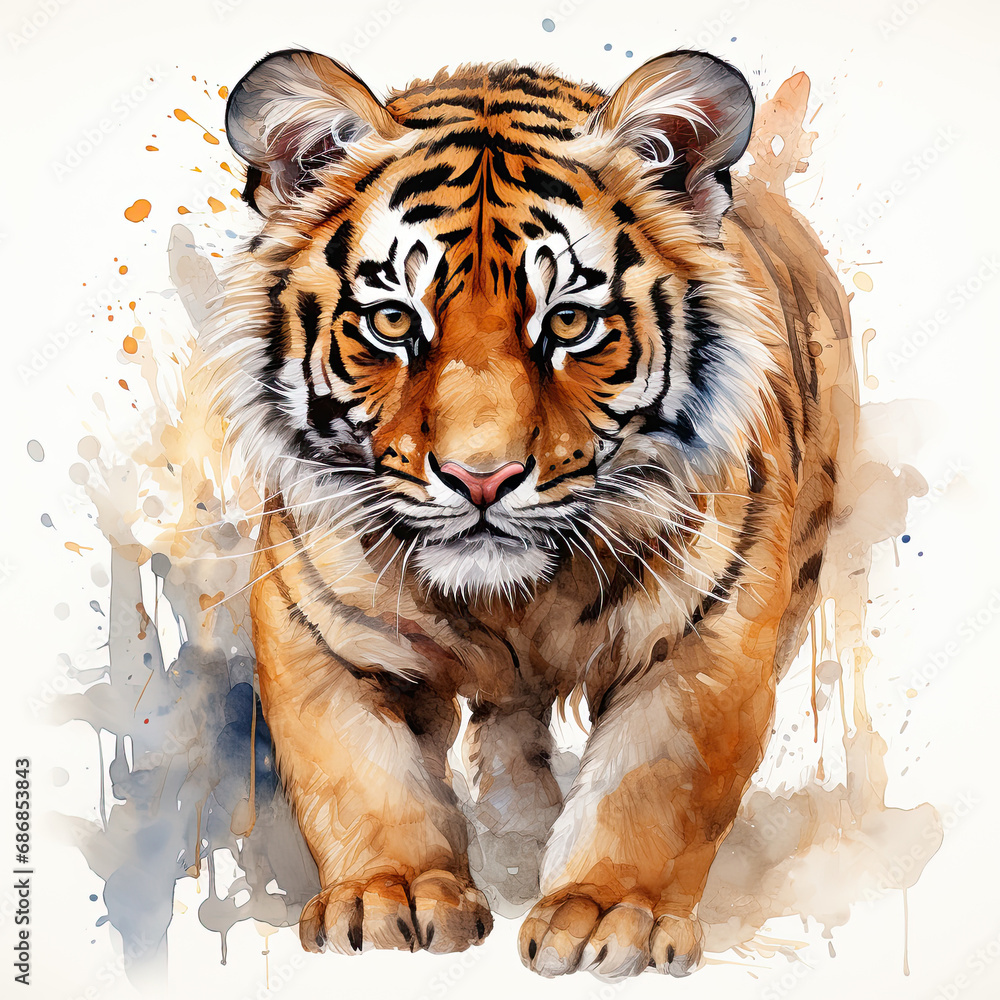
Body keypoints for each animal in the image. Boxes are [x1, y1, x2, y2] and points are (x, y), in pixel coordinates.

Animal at [207, 46, 853, 979]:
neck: (509, 604)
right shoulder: (316, 629)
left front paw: (608, 918)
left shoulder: (706, 634)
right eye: (393, 320)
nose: (482, 478)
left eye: (572, 322)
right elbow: (360, 775)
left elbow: (654, 786)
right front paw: (390, 898)